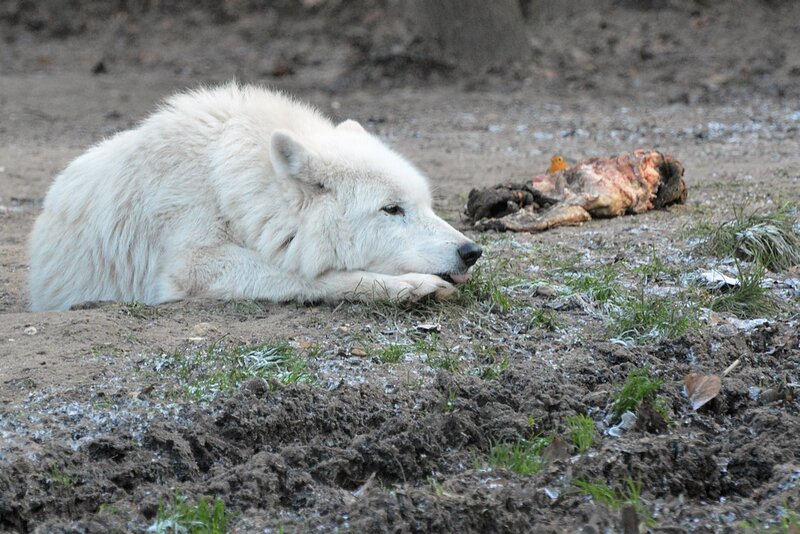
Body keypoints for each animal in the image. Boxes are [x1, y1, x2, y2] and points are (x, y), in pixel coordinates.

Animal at [29, 84, 482, 311]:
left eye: (425, 205)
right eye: (392, 209)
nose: (471, 251)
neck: (230, 183)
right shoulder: (192, 264)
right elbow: (302, 274)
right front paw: (410, 286)